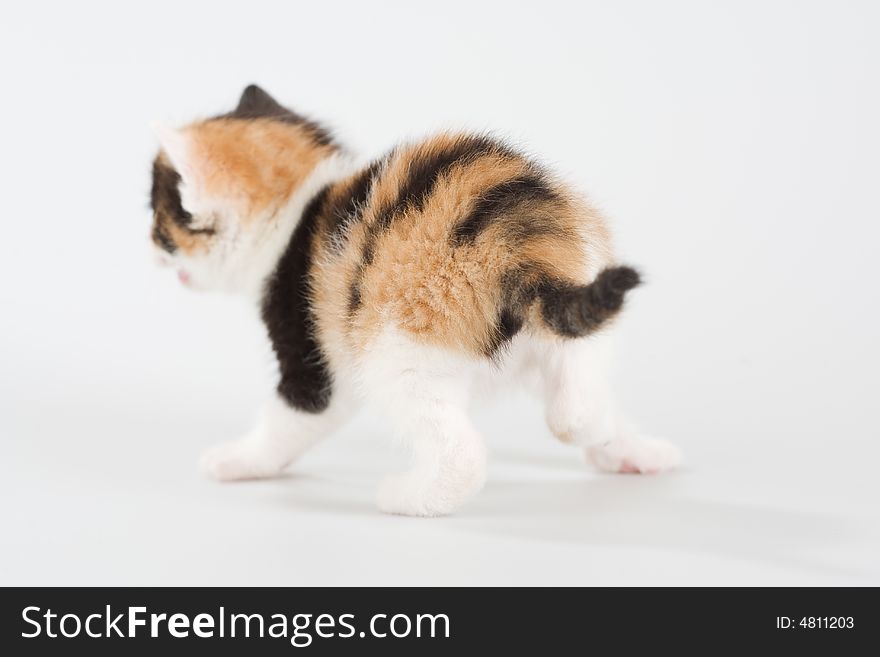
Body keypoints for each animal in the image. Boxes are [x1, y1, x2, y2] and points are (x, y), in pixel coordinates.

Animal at [150, 84, 680, 516]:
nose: (150, 246)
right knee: (580, 400)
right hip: (577, 289)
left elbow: (291, 419)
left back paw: (409, 498)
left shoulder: (313, 357)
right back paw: (626, 446)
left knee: (463, 453)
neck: (299, 208)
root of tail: (521, 252)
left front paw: (237, 460)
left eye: (159, 217)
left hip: (398, 349)